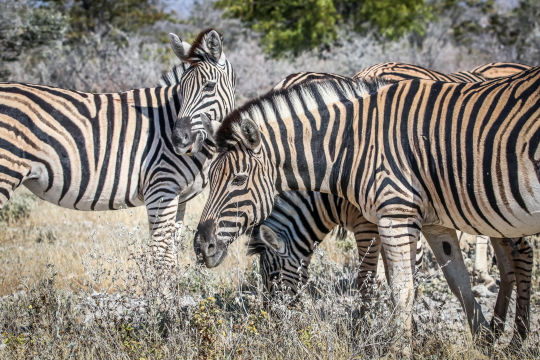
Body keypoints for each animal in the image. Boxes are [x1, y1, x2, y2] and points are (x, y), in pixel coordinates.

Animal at [0, 28, 235, 276]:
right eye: (181, 90)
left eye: (209, 86)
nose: (178, 139)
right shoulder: (161, 188)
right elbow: (163, 260)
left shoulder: (179, 198)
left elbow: (171, 256)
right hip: (6, 171)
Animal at [195, 67, 540, 346]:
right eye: (209, 178)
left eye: (238, 179)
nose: (201, 246)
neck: (349, 148)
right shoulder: (431, 220)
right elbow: (455, 280)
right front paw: (477, 335)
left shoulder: (382, 219)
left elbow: (382, 284)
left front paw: (375, 337)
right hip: (492, 212)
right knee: (509, 260)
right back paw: (501, 330)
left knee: (522, 254)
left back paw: (517, 339)